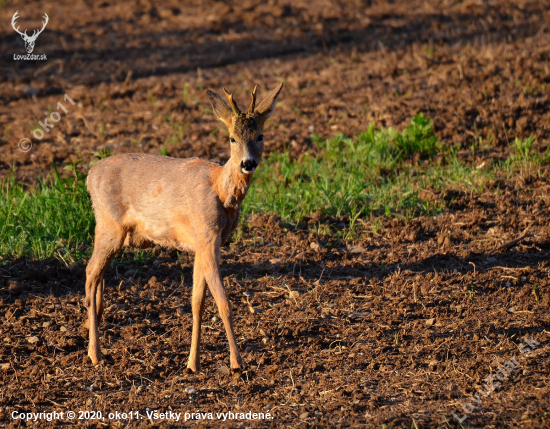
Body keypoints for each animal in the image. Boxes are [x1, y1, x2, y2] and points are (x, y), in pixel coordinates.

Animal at [87, 82, 284, 370]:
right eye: (232, 138)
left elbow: (197, 302)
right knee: (90, 274)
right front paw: (237, 363)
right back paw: (95, 354)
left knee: (98, 274)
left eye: (260, 136)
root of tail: (89, 175)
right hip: (109, 225)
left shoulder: (203, 243)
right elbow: (223, 302)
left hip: (112, 232)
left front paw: (193, 363)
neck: (220, 190)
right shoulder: (208, 235)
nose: (248, 163)